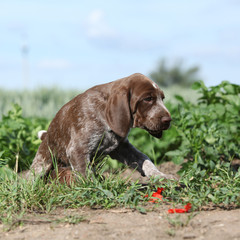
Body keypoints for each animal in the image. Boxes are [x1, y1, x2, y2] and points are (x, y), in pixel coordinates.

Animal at [25, 73, 176, 182]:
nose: (168, 120)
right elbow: (85, 175)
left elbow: (144, 159)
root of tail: (47, 135)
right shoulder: (78, 150)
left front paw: (160, 175)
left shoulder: (122, 147)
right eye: (148, 99)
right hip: (41, 162)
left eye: (162, 98)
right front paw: (94, 189)